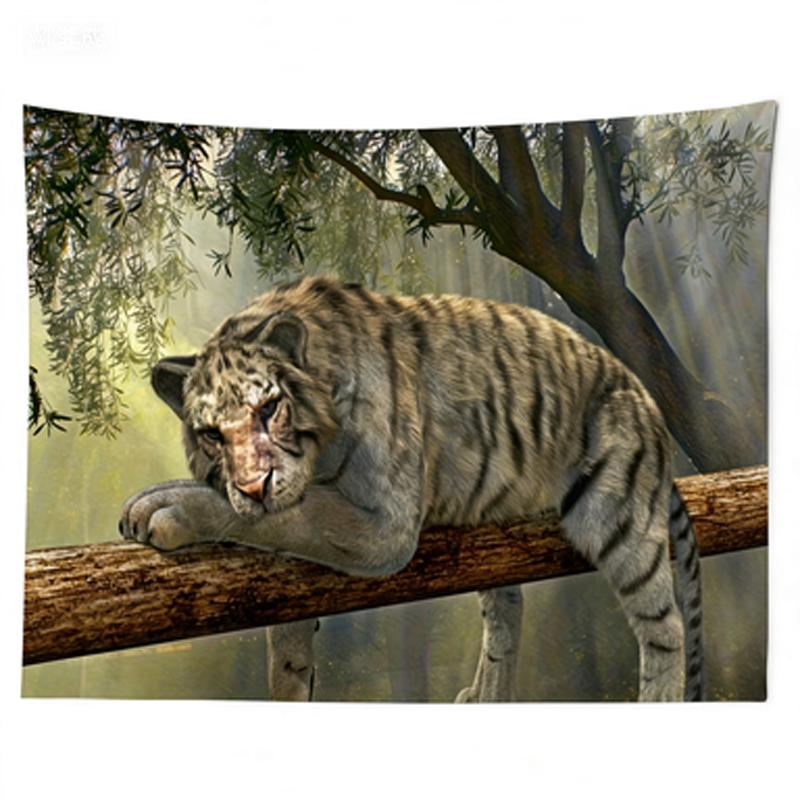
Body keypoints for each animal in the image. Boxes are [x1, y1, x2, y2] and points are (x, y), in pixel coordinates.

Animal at [119, 275, 704, 702]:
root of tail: (643, 395)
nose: (253, 484)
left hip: (618, 521)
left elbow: (294, 516)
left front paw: (164, 507)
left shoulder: (385, 528)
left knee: (666, 628)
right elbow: (287, 648)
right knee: (508, 607)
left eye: (269, 409)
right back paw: (487, 698)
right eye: (212, 434)